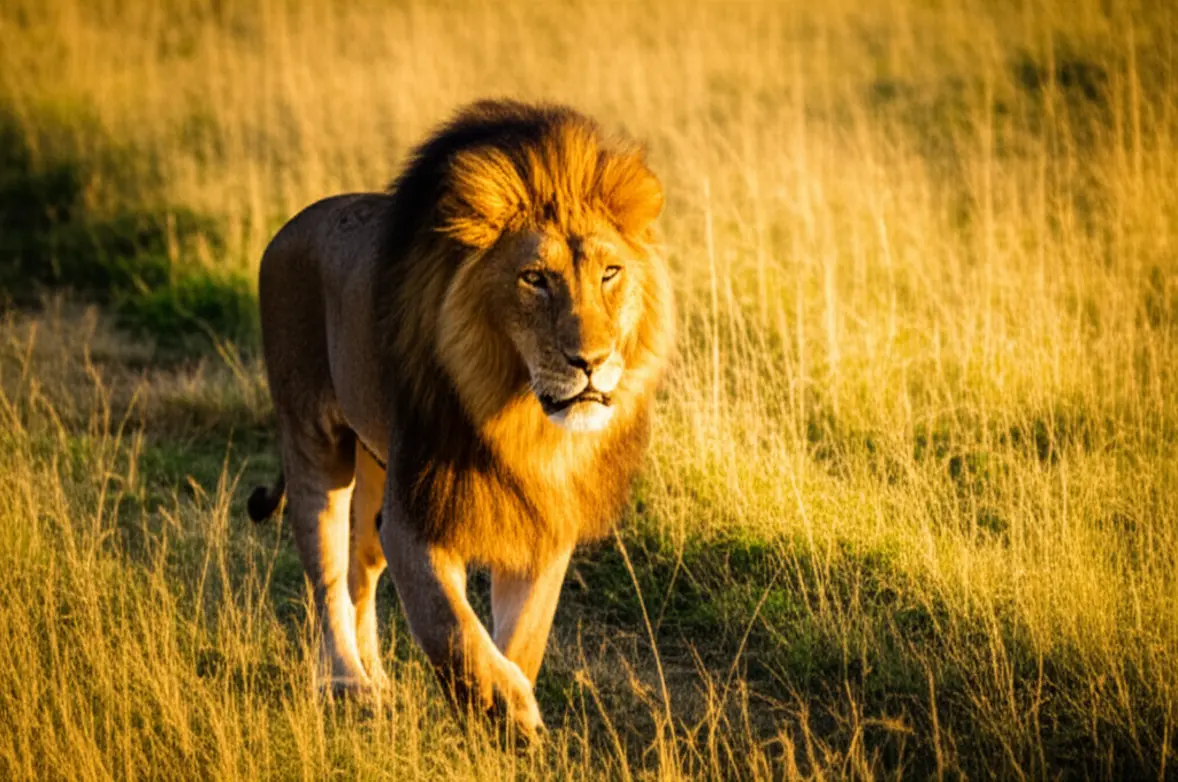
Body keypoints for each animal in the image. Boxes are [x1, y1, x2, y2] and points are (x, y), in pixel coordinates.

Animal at [246, 99, 673, 737]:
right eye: (534, 279)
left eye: (609, 273)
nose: (591, 362)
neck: (520, 423)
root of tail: (289, 227)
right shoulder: (416, 517)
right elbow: (450, 625)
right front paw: (506, 710)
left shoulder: (544, 527)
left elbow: (522, 638)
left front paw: (510, 705)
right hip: (312, 439)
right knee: (326, 575)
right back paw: (348, 685)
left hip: (378, 468)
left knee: (359, 573)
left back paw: (379, 680)